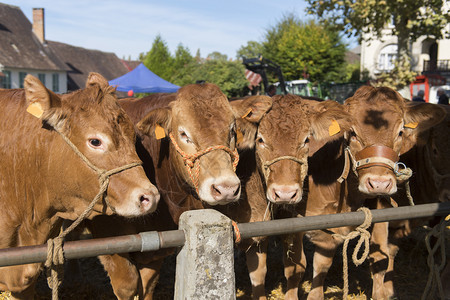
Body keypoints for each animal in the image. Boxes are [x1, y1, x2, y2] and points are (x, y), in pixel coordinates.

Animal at [86, 84, 272, 300]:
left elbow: (147, 286)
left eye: (232, 130)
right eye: (184, 134)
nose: (226, 188)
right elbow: (127, 286)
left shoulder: (156, 246)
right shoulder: (108, 235)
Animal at [304, 85, 444, 298]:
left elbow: (381, 257)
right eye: (352, 133)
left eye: (400, 132)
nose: (379, 183)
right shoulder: (317, 227)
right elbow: (321, 266)